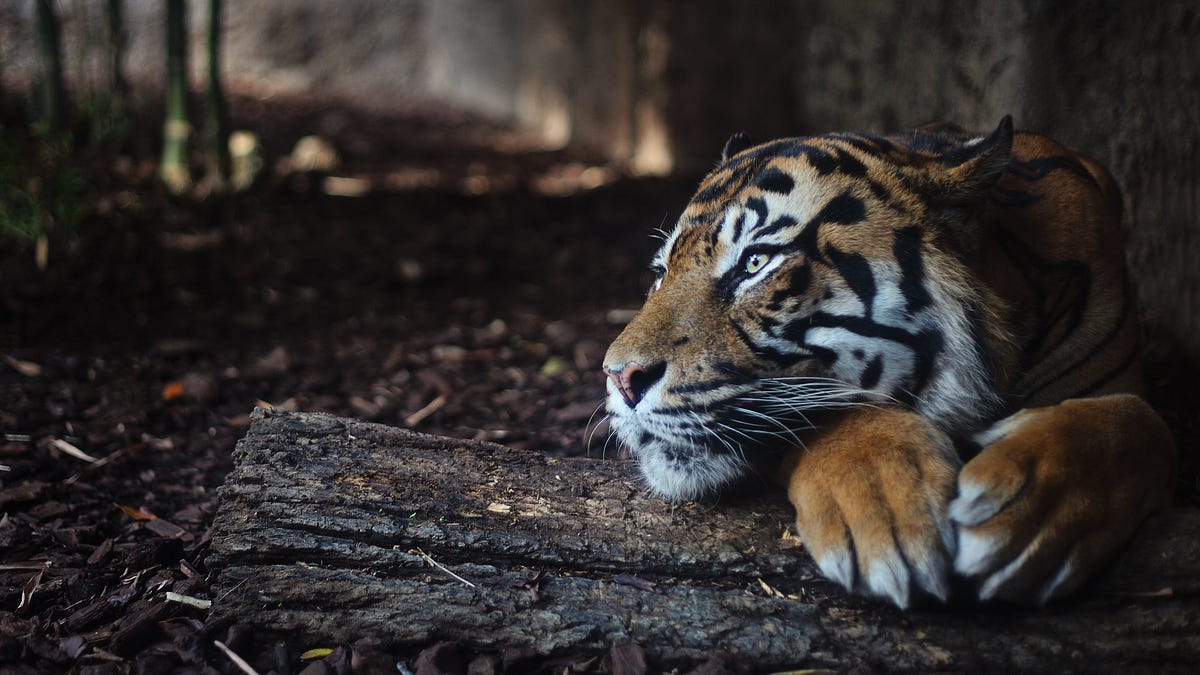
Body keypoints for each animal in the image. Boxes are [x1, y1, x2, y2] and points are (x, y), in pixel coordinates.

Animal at [602, 116, 1177, 608]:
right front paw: (887, 511)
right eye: (661, 273)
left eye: (756, 262)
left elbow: (1136, 421)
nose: (618, 377)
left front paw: (1031, 512)